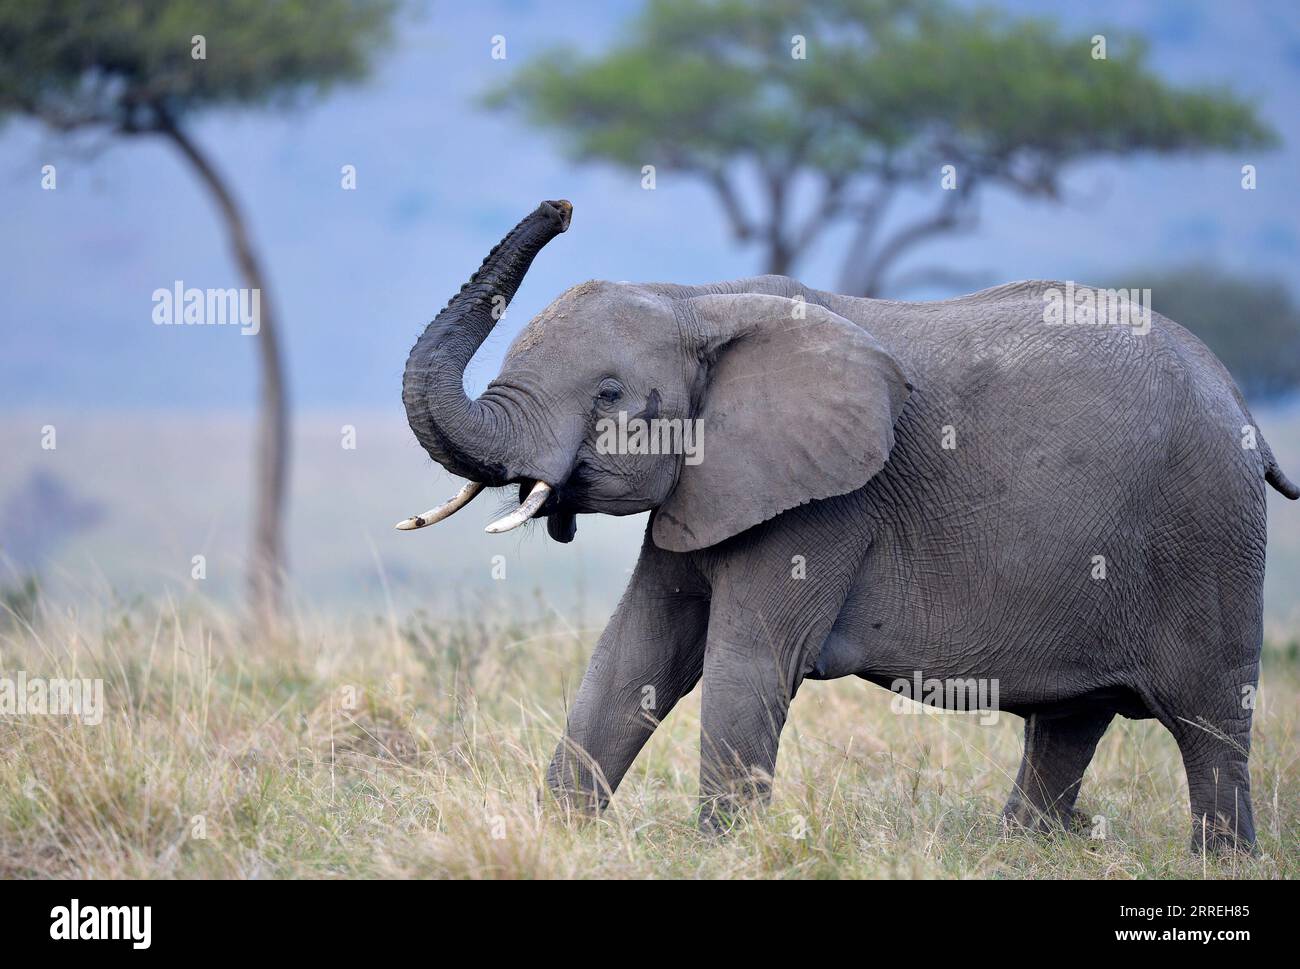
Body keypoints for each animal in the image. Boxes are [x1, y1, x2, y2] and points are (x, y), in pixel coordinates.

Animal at [397, 199, 1300, 848]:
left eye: (611, 395)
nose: (562, 207)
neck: (698, 301)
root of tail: (1241, 404)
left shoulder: (826, 503)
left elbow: (745, 661)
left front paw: (719, 854)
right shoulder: (711, 486)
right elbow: (636, 654)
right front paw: (555, 836)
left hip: (1208, 533)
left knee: (1209, 722)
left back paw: (1219, 858)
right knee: (1070, 720)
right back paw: (1022, 850)